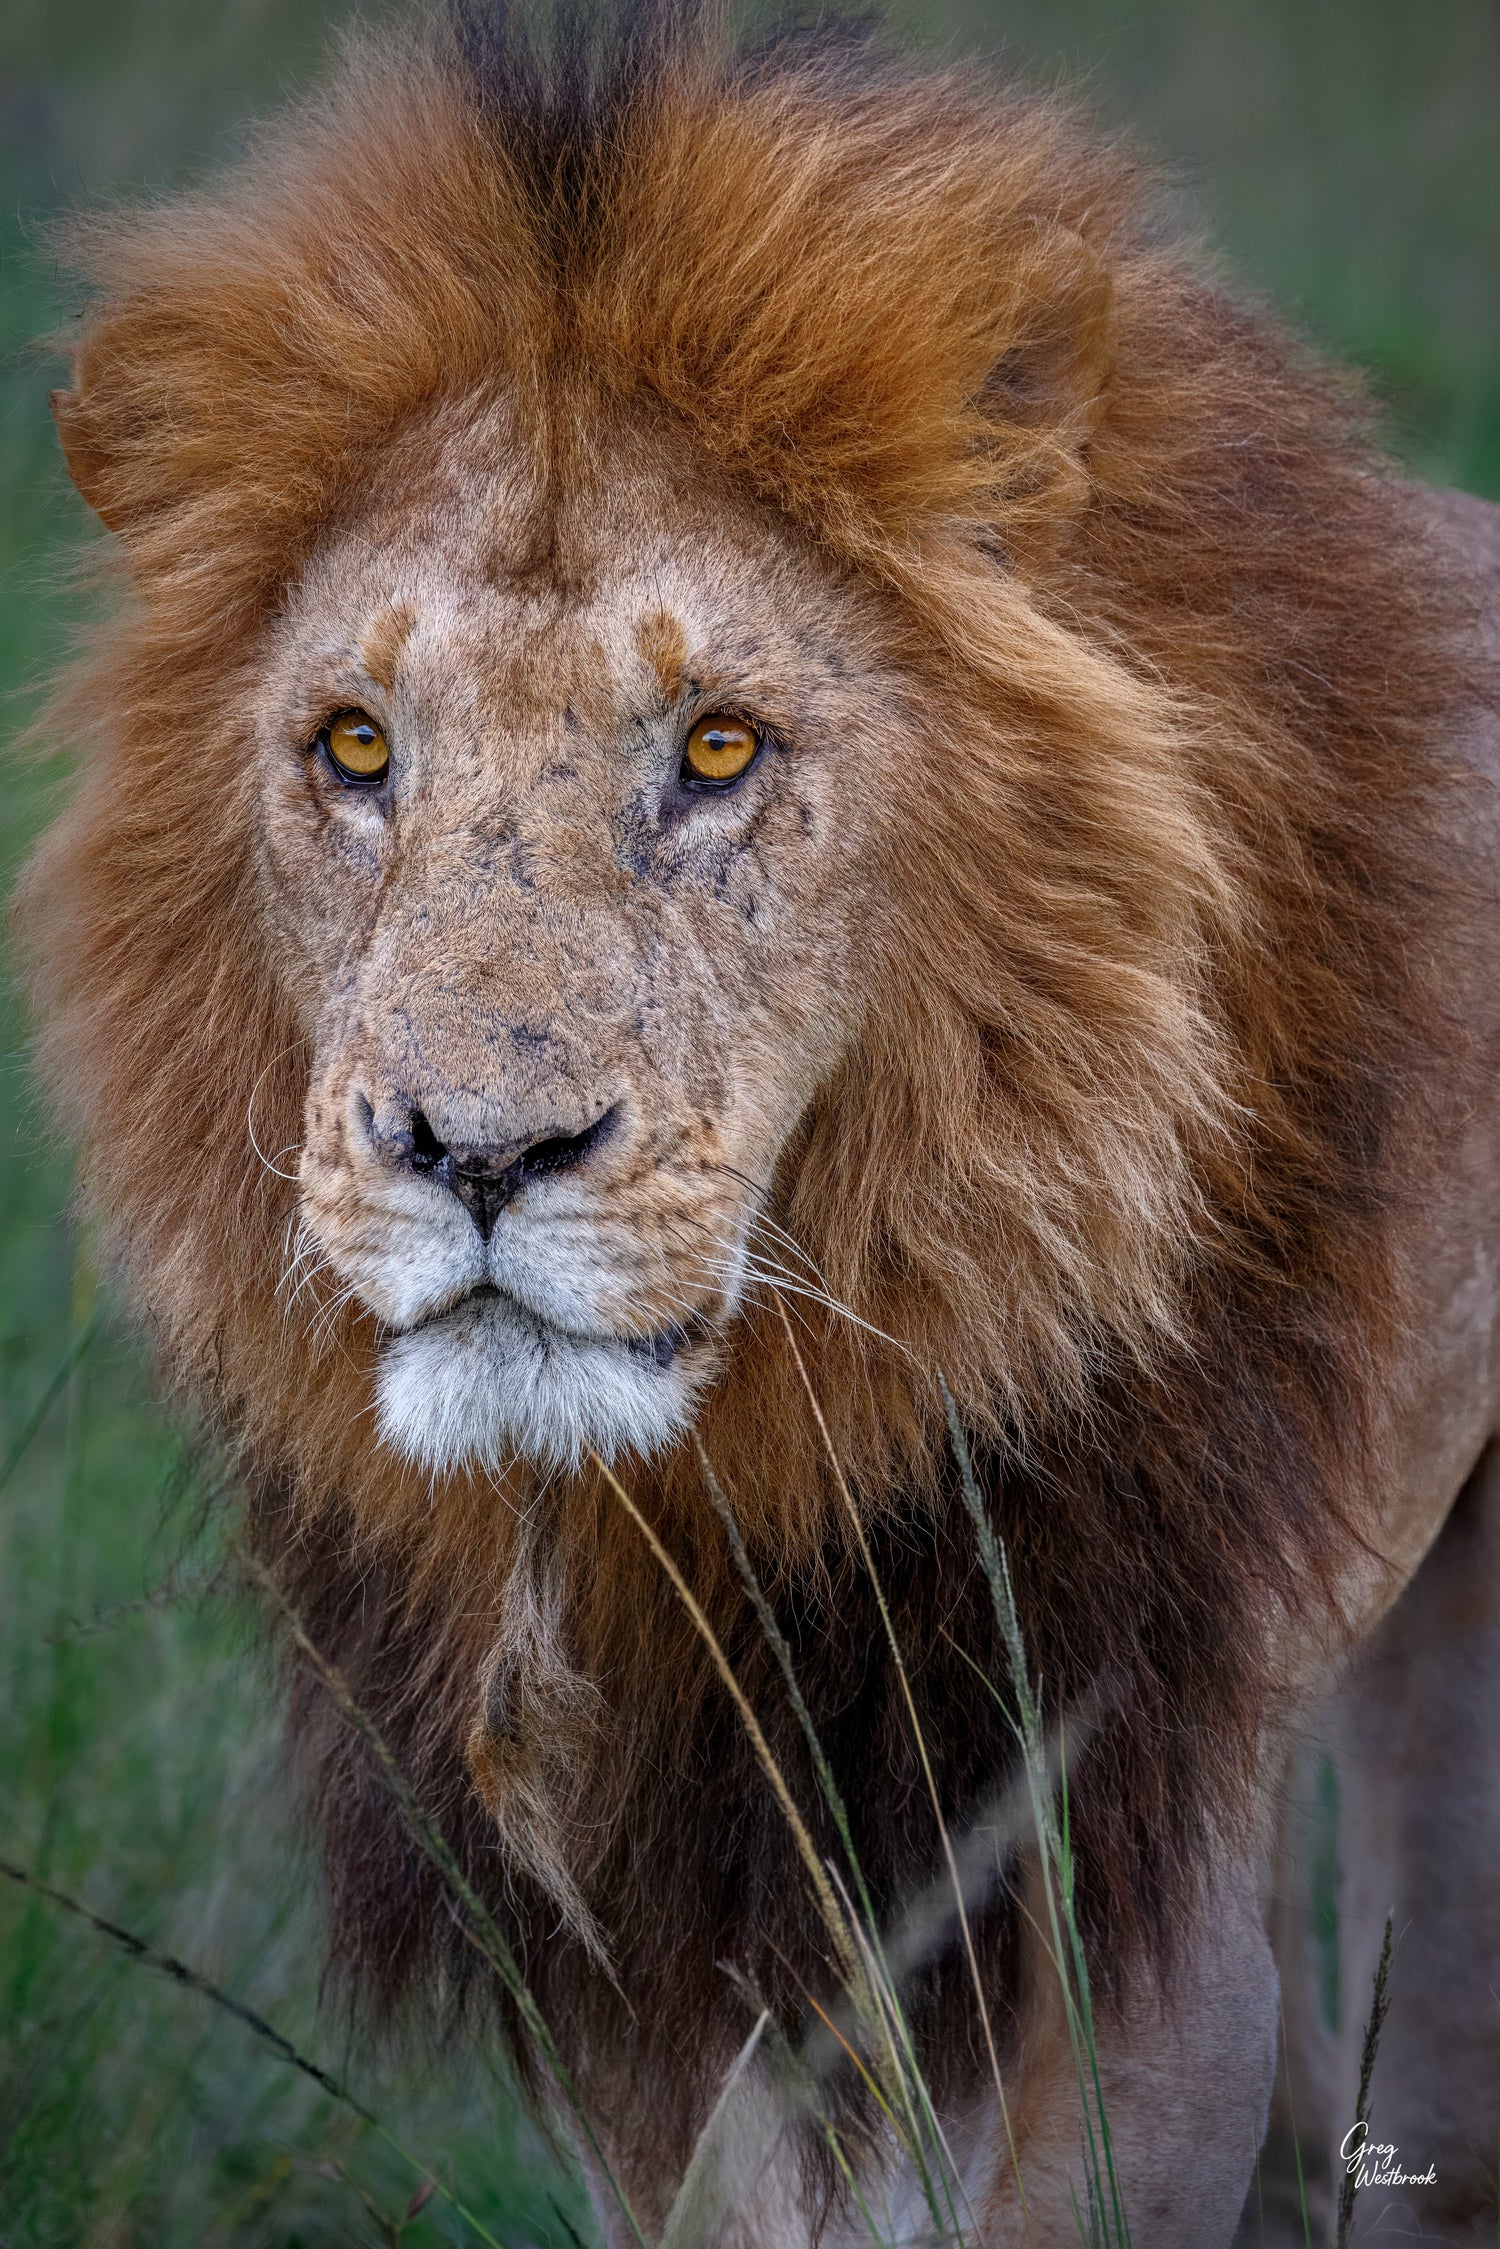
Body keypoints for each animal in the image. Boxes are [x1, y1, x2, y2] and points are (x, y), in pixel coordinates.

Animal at [19, 3, 1500, 2241]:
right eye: (355, 748)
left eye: (720, 750)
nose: (475, 1152)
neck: (715, 1496)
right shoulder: (633, 1944)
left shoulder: (1109, 1879)